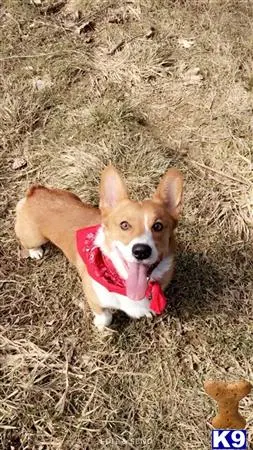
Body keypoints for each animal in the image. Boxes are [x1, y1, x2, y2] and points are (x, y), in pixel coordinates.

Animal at [14, 165, 183, 330]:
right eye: (124, 225)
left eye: (158, 226)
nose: (141, 251)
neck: (121, 282)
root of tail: (36, 192)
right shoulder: (93, 296)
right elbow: (105, 315)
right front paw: (101, 325)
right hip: (34, 237)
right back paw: (35, 252)